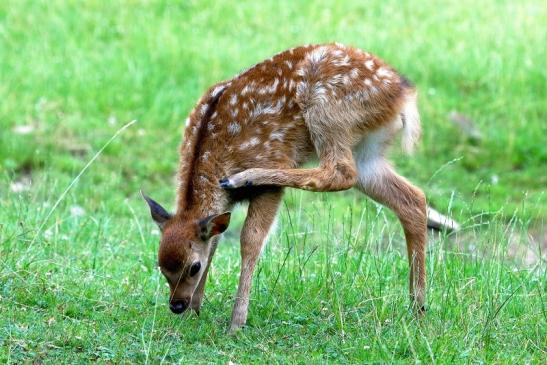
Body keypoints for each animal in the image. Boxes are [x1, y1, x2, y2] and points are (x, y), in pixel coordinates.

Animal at [141, 43, 428, 332]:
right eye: (161, 266)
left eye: (194, 267)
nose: (177, 305)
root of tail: (403, 93)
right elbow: (215, 240)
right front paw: (195, 312)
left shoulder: (269, 182)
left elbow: (250, 240)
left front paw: (236, 323)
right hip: (367, 150)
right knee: (413, 199)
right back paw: (418, 308)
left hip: (327, 109)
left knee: (340, 172)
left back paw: (244, 177)